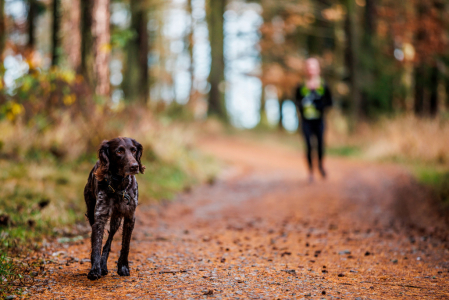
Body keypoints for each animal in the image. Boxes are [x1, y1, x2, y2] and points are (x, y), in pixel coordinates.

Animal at [84, 137, 145, 280]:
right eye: (119, 151)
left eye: (134, 150)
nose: (135, 166)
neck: (119, 186)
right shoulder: (99, 218)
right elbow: (96, 245)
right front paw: (95, 269)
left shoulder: (130, 217)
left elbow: (125, 245)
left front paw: (123, 267)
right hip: (91, 212)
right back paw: (100, 266)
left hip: (116, 220)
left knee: (109, 239)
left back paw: (104, 265)